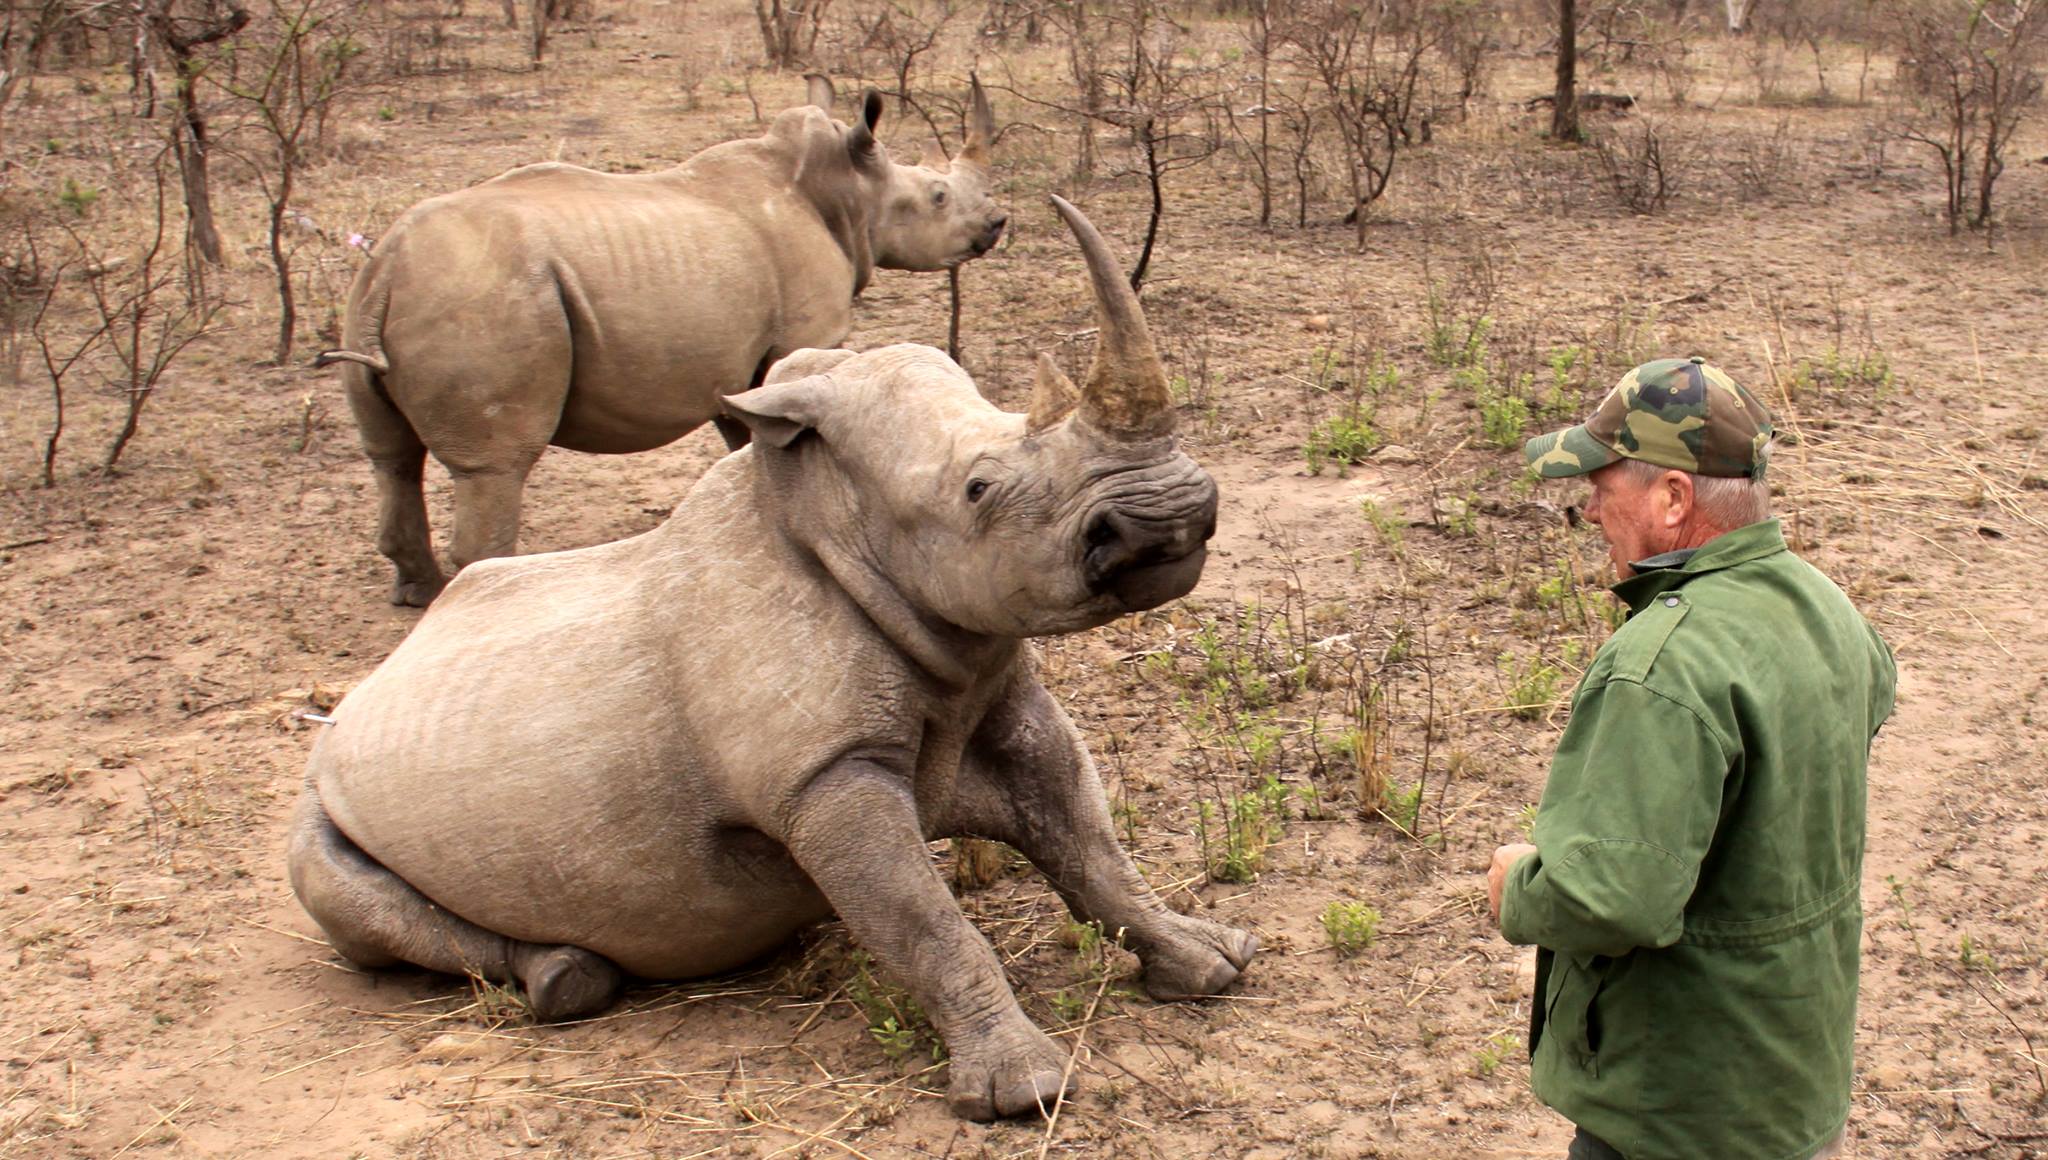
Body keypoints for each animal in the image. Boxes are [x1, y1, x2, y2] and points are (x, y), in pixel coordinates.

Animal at [288, 196, 1257, 1120]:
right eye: (977, 489)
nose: (1169, 518)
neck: (835, 513)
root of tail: (371, 684)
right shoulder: (821, 776)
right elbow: (926, 919)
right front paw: (1024, 1093)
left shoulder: (995, 686)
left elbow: (1085, 838)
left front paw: (1211, 963)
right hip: (320, 792)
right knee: (335, 887)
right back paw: (567, 981)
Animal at [317, 76, 1007, 606]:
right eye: (937, 197)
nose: (998, 222)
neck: (848, 193)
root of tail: (389, 267)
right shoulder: (806, 333)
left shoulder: (741, 357)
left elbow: (745, 434)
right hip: (488, 305)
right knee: (494, 466)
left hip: (383, 299)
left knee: (389, 454)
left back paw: (417, 595)